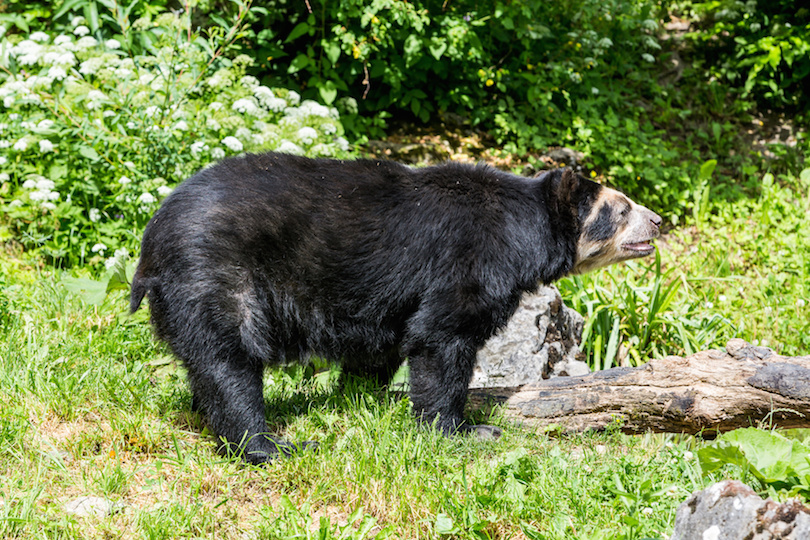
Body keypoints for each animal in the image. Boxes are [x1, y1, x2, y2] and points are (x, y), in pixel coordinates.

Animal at [131, 152, 656, 464]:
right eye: (622, 208)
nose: (658, 221)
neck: (523, 232)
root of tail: (151, 239)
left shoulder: (381, 303)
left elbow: (380, 346)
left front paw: (365, 399)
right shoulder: (469, 259)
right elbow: (443, 337)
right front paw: (462, 430)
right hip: (217, 273)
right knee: (228, 361)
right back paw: (270, 445)